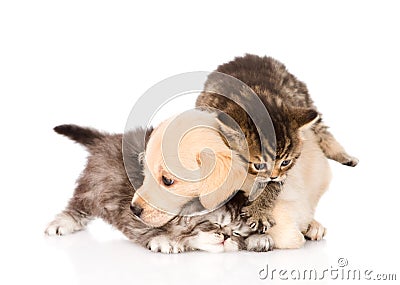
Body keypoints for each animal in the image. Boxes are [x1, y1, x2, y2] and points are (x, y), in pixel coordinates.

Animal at [45, 123, 274, 252]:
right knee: (78, 204)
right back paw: (63, 222)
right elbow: (147, 228)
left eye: (237, 233)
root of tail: (107, 138)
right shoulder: (132, 211)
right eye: (215, 224)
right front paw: (166, 240)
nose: (226, 236)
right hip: (97, 186)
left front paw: (258, 239)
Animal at [195, 54, 358, 230]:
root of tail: (249, 56)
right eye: (258, 165)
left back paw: (343, 155)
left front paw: (259, 212)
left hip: (302, 97)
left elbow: (274, 185)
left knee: (322, 129)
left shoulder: (282, 173)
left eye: (285, 162)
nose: (273, 176)